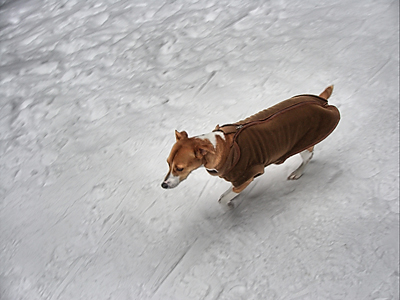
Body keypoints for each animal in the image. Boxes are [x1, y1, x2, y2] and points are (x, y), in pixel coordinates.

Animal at [161, 86, 340, 209]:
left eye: (180, 168)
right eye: (168, 163)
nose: (163, 185)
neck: (221, 145)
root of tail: (321, 102)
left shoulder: (246, 176)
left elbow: (224, 198)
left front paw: (229, 204)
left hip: (303, 143)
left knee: (308, 157)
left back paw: (298, 172)